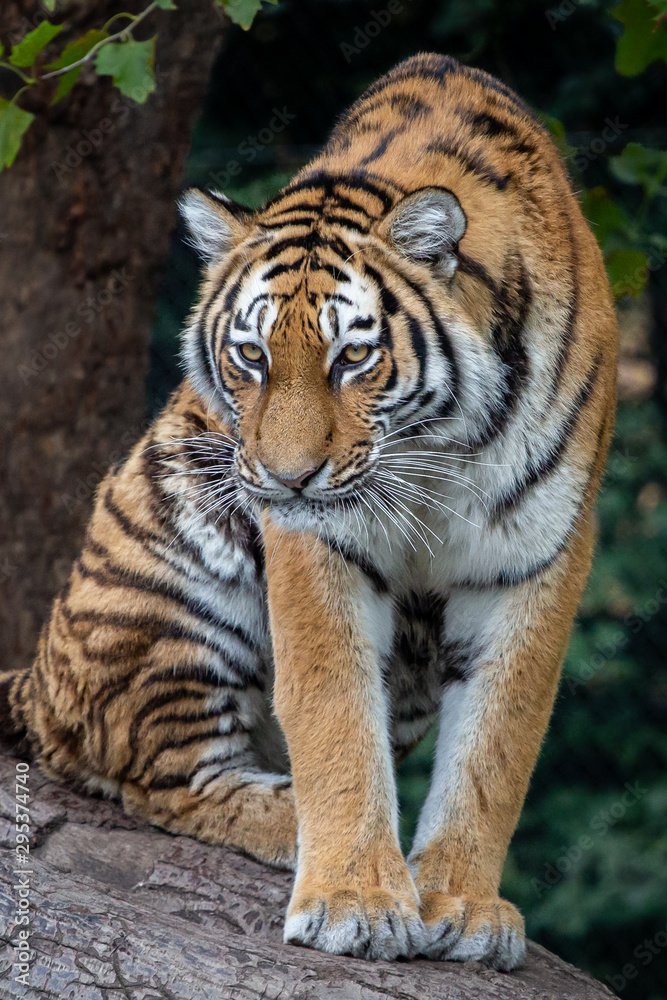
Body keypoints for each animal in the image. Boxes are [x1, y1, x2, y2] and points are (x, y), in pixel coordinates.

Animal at [0, 54, 620, 968]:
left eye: (352, 357)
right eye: (252, 356)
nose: (286, 478)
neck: (434, 450)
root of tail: (39, 677)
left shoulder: (536, 553)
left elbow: (495, 745)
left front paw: (463, 905)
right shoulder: (315, 540)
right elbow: (333, 716)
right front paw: (356, 899)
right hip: (169, 564)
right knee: (165, 778)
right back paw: (304, 825)